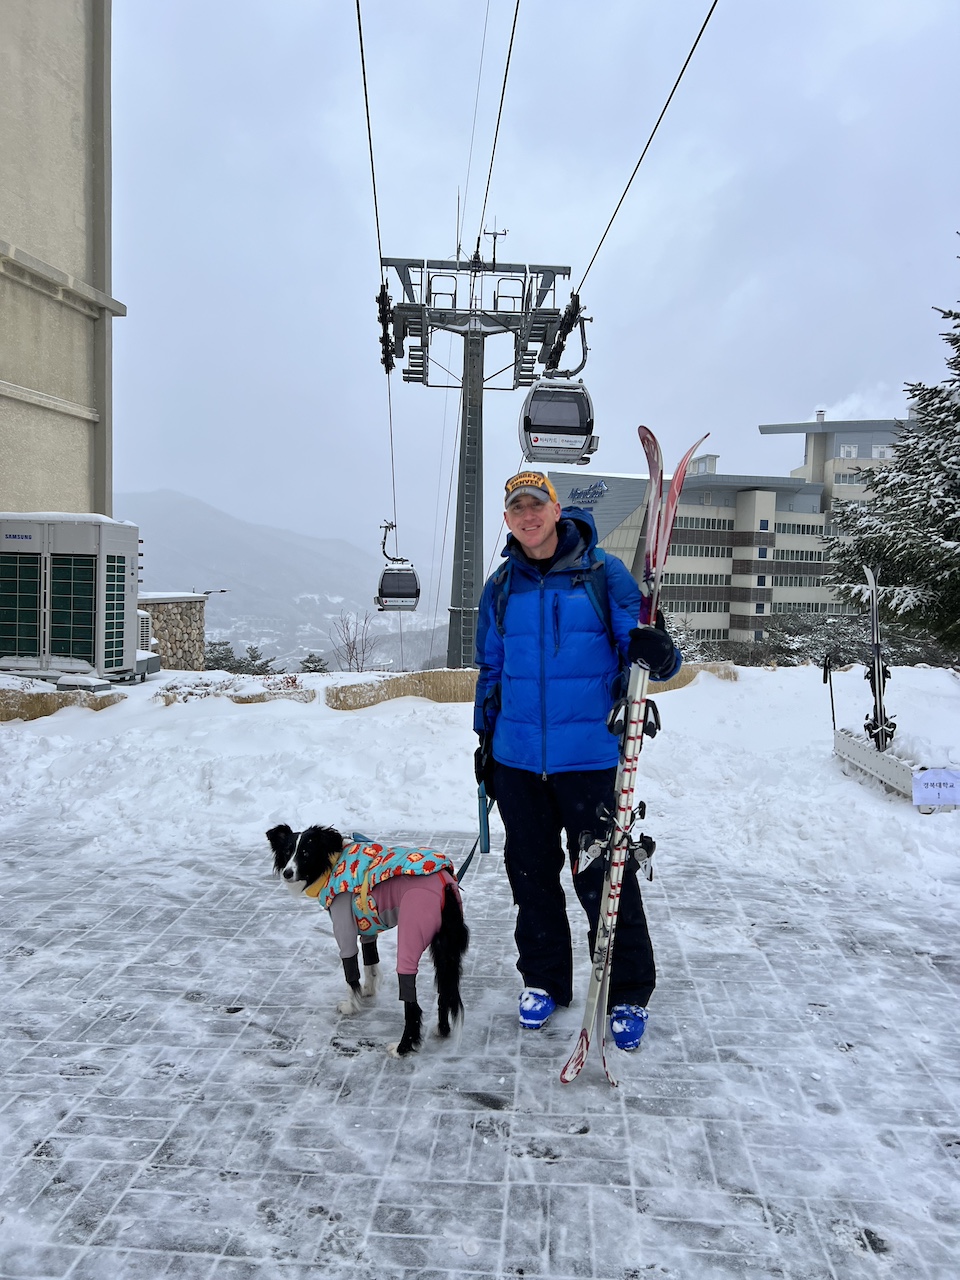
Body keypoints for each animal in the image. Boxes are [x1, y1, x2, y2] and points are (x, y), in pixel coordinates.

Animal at [267, 824, 471, 1054]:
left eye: (305, 853)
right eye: (287, 852)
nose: (287, 873)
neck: (332, 862)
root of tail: (445, 885)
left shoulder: (344, 930)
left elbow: (351, 973)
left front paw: (351, 1006)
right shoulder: (367, 927)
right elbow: (370, 962)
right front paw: (368, 991)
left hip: (411, 937)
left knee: (413, 1005)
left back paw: (402, 1048)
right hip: (445, 951)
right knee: (445, 991)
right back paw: (442, 1029)